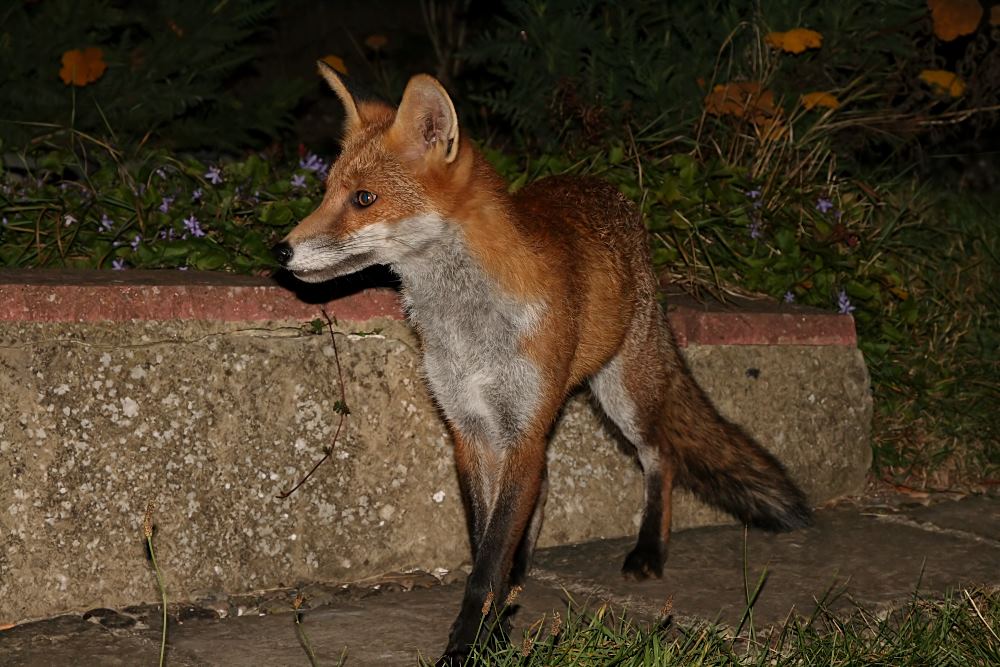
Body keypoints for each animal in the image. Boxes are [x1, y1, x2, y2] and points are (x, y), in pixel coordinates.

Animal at [272, 62, 812, 664]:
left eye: (364, 198)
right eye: (326, 191)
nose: (280, 250)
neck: (468, 329)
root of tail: (605, 189)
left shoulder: (522, 430)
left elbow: (485, 565)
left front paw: (468, 645)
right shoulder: (471, 430)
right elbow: (487, 540)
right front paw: (494, 630)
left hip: (621, 392)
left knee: (661, 456)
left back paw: (649, 551)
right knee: (549, 486)